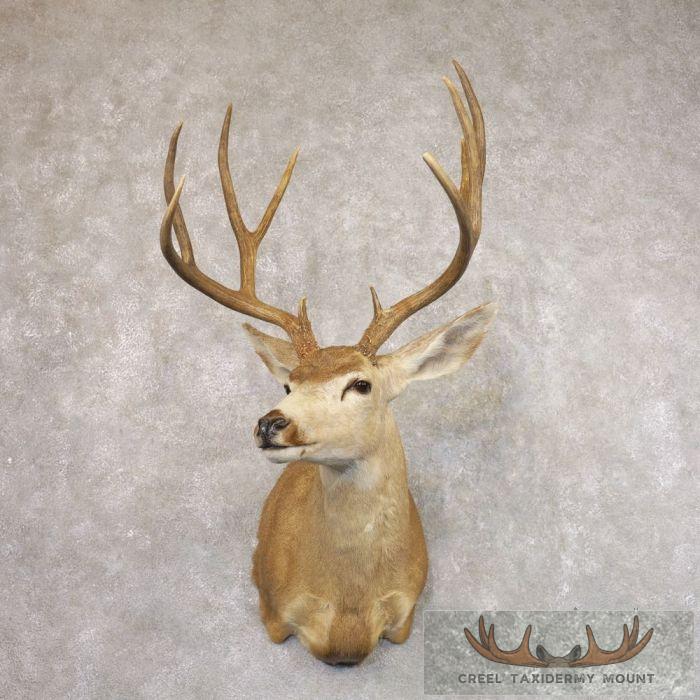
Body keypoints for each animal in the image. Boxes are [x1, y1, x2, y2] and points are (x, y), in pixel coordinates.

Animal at [159, 61, 494, 666]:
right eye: (290, 383)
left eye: (360, 384)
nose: (271, 423)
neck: (350, 607)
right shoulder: (273, 610)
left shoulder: (406, 614)